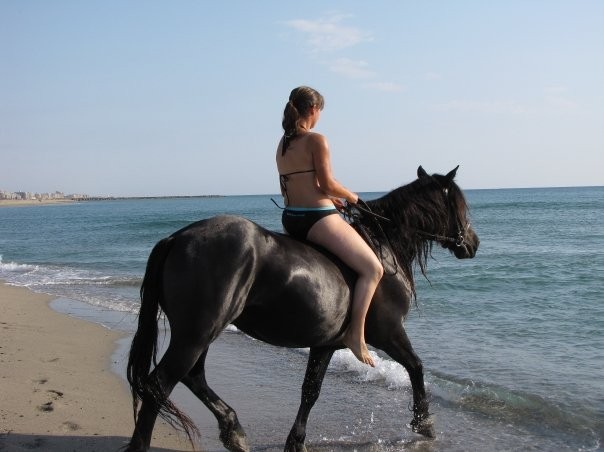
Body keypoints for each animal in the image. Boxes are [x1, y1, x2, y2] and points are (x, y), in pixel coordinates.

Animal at [125, 166, 478, 452]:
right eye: (461, 206)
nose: (472, 243)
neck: (383, 247)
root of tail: (175, 239)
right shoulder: (389, 332)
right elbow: (416, 367)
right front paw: (424, 423)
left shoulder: (325, 344)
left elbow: (310, 391)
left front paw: (296, 441)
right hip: (196, 333)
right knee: (161, 384)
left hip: (199, 334)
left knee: (193, 376)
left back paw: (233, 430)